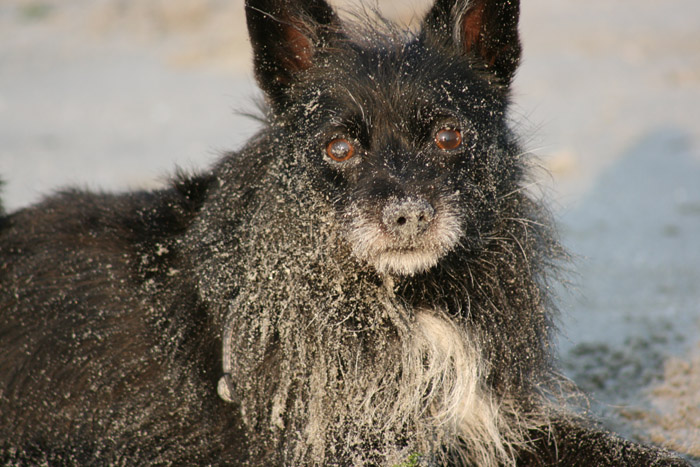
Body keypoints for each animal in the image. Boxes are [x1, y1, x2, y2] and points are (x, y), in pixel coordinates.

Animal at [0, 0, 688, 464]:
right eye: (338, 148)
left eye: (449, 135)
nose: (408, 214)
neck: (405, 297)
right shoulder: (368, 443)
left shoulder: (486, 419)